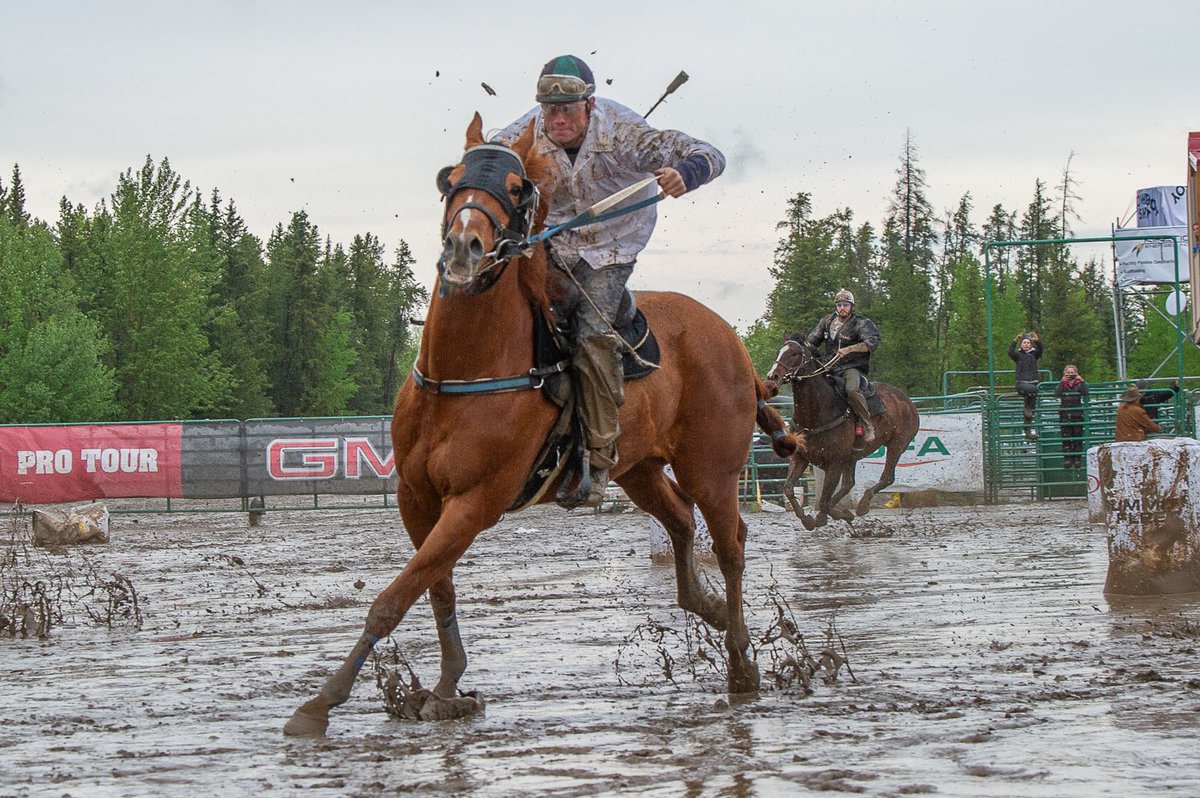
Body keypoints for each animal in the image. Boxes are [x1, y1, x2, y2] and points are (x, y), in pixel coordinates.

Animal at [283, 114, 798, 737]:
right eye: (450, 178)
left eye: (515, 187)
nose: (464, 246)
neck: (467, 370)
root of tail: (733, 343)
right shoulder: (416, 497)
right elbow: (435, 587)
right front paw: (448, 688)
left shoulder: (475, 503)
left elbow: (396, 596)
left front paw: (321, 701)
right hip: (640, 469)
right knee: (679, 520)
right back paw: (712, 611)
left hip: (713, 469)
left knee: (730, 544)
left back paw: (741, 661)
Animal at [765, 338, 919, 530]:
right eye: (779, 351)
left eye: (795, 353)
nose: (773, 376)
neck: (818, 413)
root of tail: (906, 401)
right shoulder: (800, 457)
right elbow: (788, 489)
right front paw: (809, 519)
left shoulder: (834, 464)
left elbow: (823, 501)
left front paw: (839, 514)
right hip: (852, 457)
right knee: (848, 484)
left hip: (897, 445)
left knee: (887, 478)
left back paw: (862, 505)